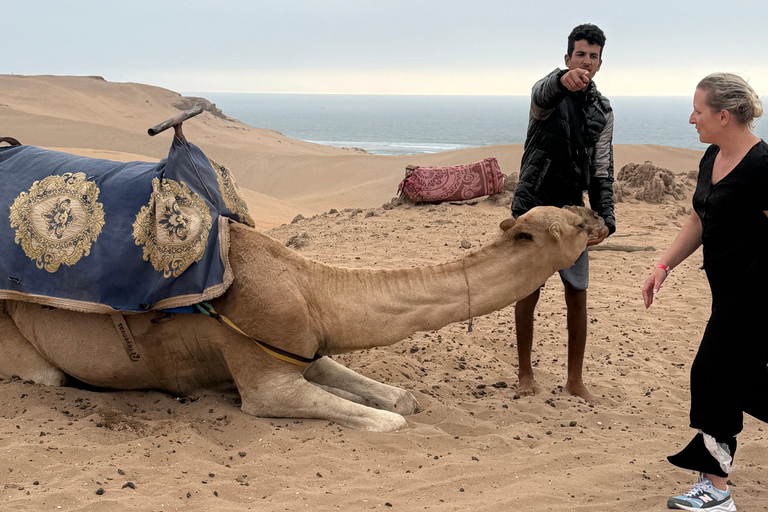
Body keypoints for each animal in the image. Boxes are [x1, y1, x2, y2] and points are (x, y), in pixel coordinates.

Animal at [0, 205, 604, 432]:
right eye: (569, 224)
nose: (601, 219)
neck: (309, 284)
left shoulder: (301, 345)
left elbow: (400, 400)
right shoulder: (266, 375)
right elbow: (390, 421)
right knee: (49, 374)